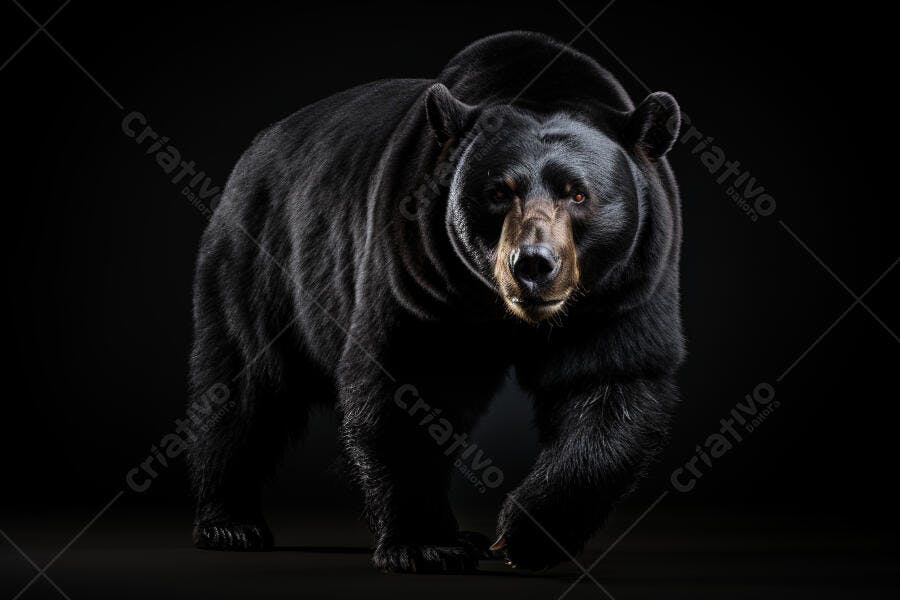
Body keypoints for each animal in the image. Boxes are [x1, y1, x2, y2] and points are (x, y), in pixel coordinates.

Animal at [187, 30, 684, 573]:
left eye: (576, 194)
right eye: (499, 191)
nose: (533, 264)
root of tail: (255, 150)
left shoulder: (625, 288)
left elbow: (610, 382)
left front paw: (527, 536)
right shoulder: (419, 275)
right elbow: (406, 381)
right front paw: (426, 545)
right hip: (262, 260)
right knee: (245, 382)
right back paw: (229, 522)